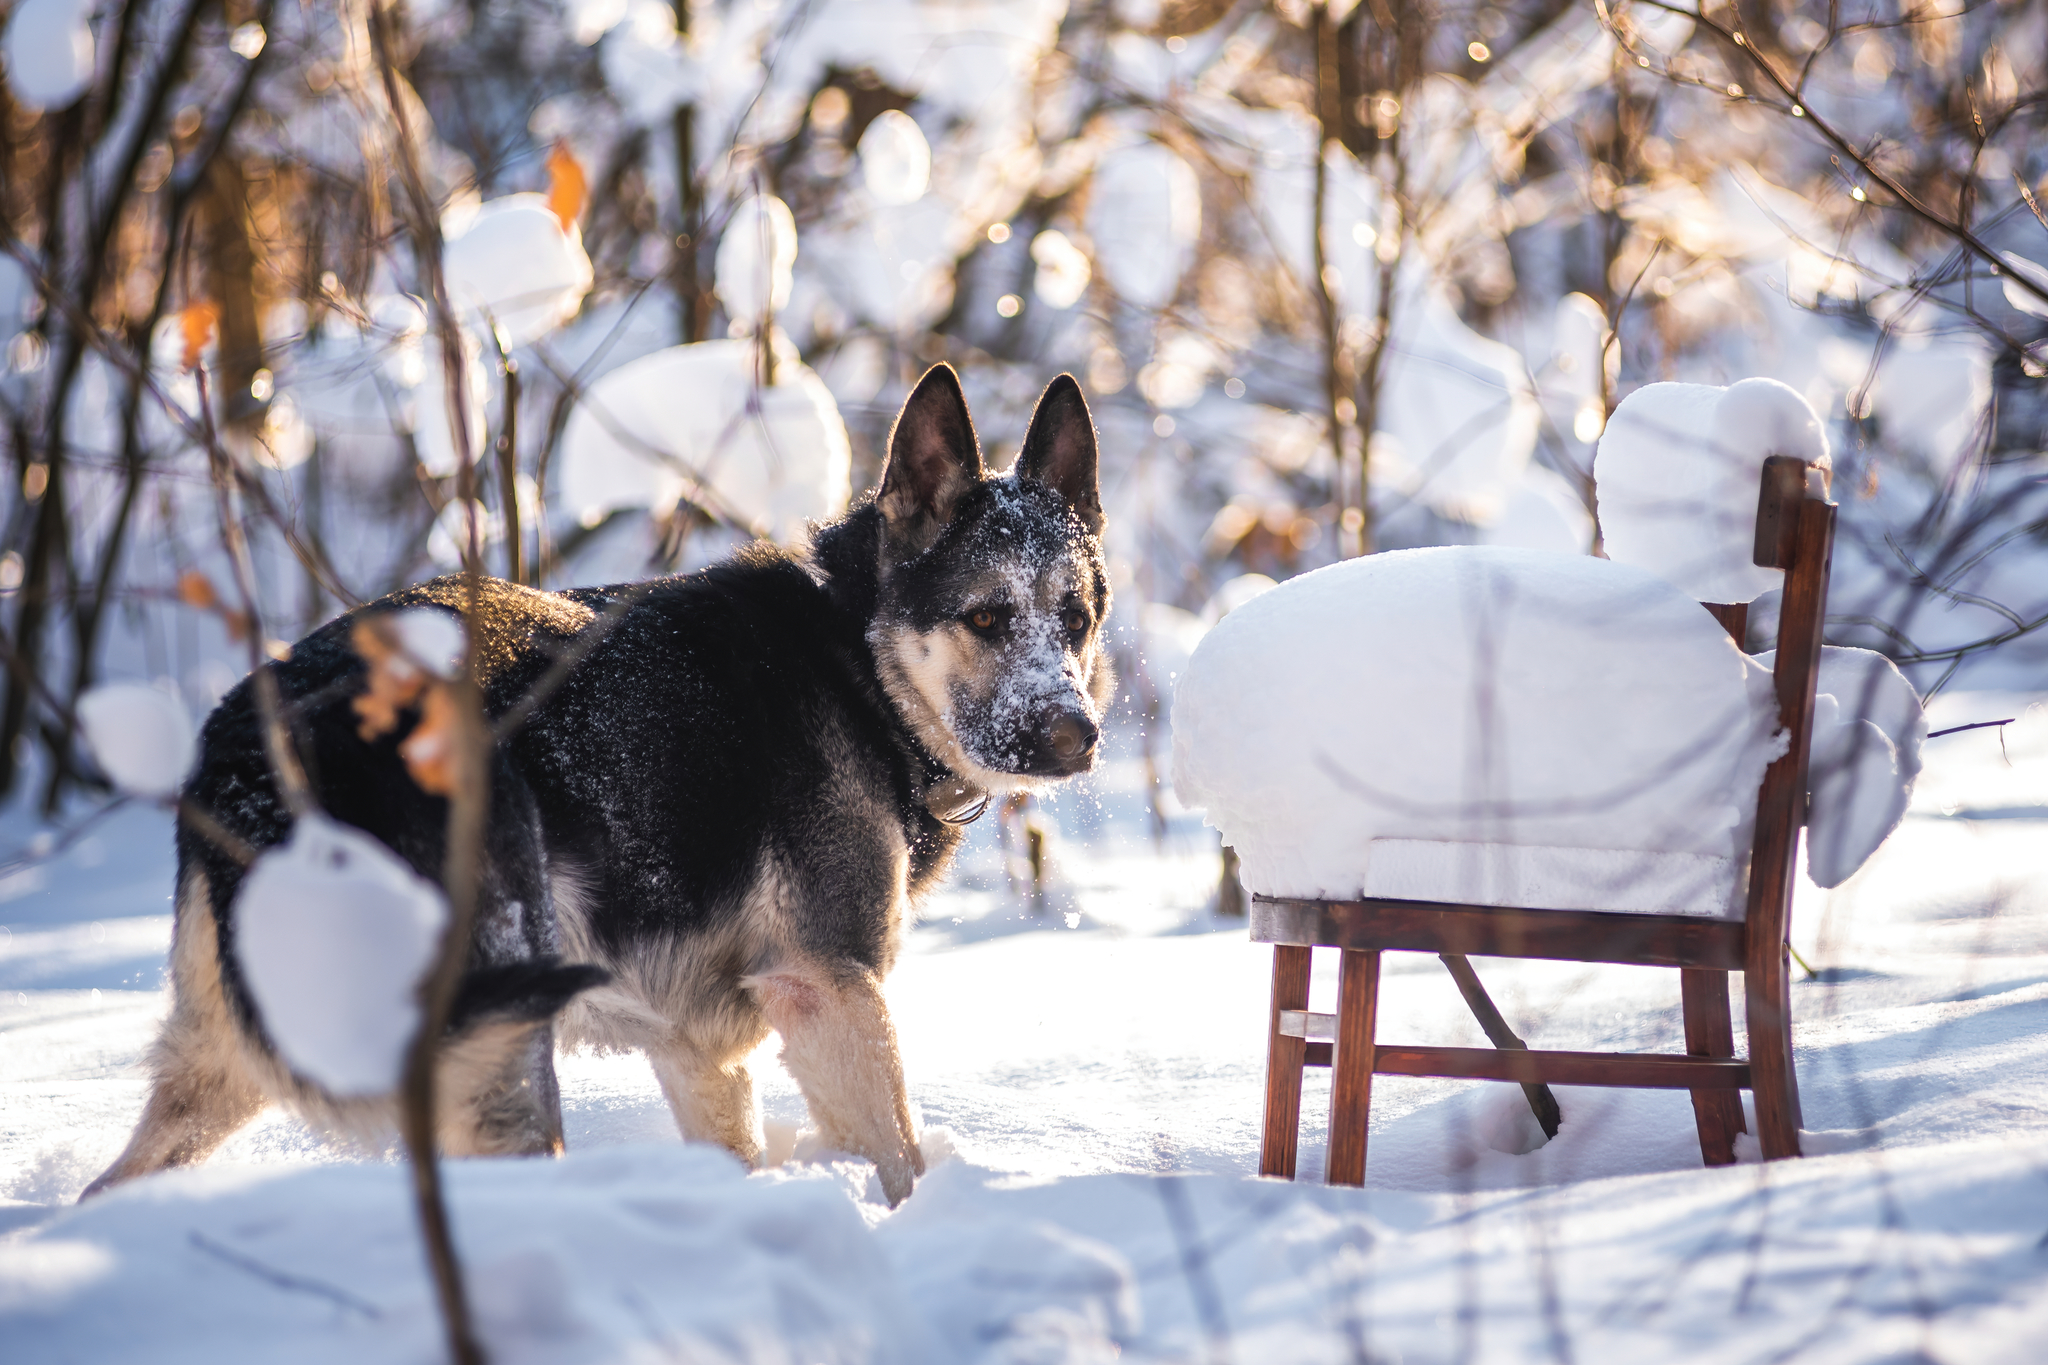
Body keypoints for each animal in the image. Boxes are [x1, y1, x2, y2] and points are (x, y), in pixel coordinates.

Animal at [83, 366, 1105, 1203]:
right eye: (985, 616)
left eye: (1078, 620)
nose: (1078, 736)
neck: (858, 655)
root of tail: (259, 736)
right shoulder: (829, 989)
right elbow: (900, 1163)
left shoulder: (704, 1055)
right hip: (504, 1048)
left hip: (224, 1064)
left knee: (114, 1184)